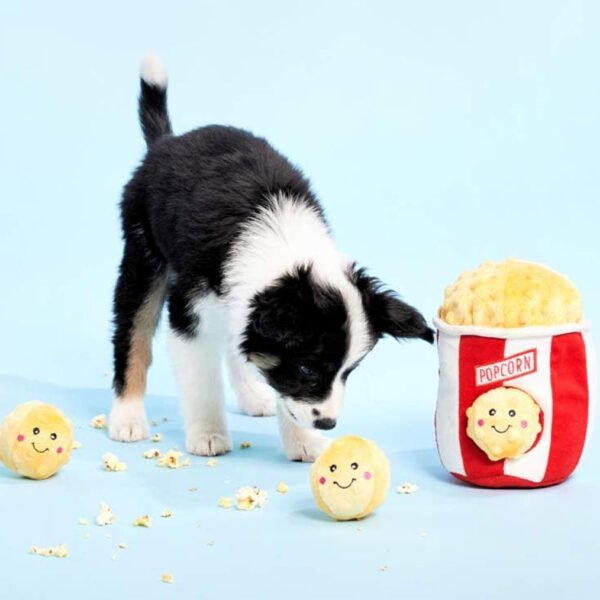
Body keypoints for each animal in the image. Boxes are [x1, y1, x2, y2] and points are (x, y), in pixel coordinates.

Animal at [110, 55, 432, 460]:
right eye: (308, 368)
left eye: (349, 372)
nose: (328, 424)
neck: (283, 244)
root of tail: (167, 142)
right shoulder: (189, 311)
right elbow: (202, 378)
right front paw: (208, 434)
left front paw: (304, 442)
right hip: (142, 254)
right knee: (132, 332)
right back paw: (127, 417)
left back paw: (252, 396)